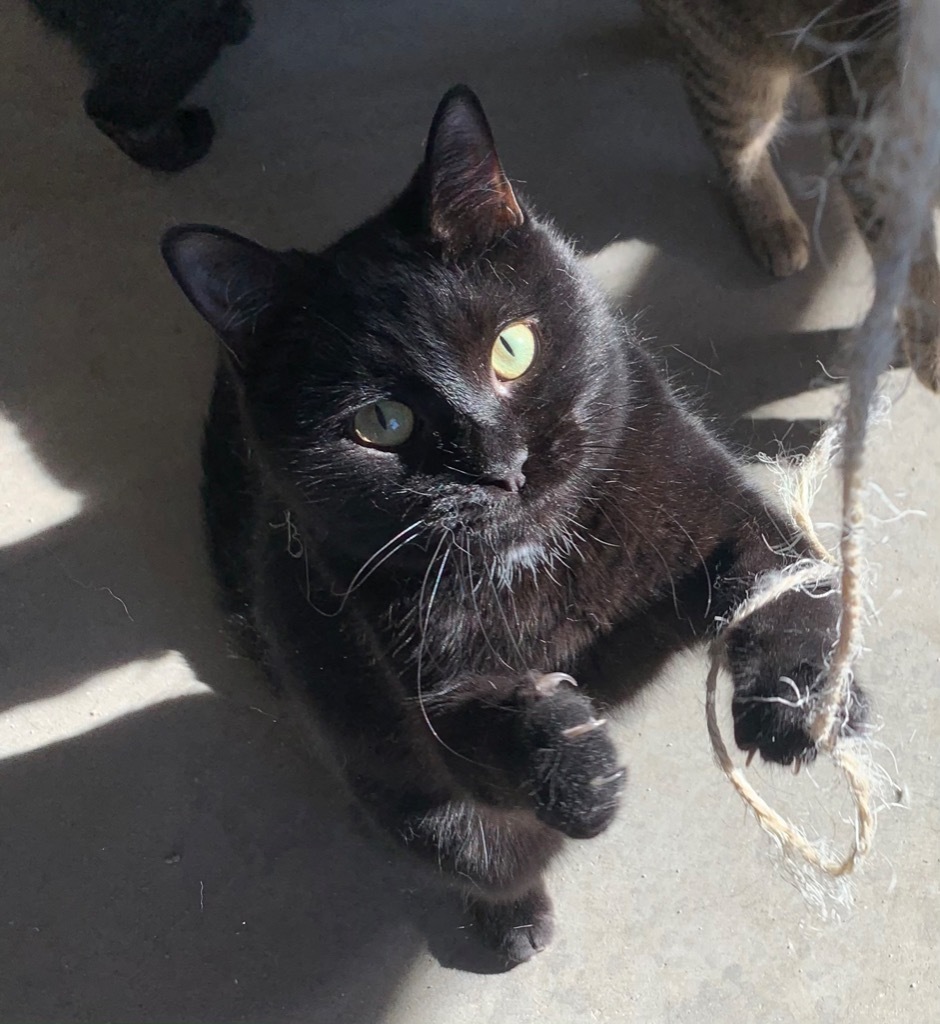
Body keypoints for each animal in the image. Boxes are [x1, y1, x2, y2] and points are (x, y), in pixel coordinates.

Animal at [159, 86, 868, 958]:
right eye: (380, 423)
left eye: (513, 349)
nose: (505, 464)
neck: (553, 557)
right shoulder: (414, 662)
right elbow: (471, 735)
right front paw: (568, 758)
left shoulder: (712, 500)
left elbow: (786, 580)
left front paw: (803, 698)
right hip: (422, 810)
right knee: (485, 855)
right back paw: (515, 926)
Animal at [643, 0, 937, 389]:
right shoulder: (873, 161)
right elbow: (917, 274)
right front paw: (933, 351)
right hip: (732, 70)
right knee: (732, 143)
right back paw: (774, 226)